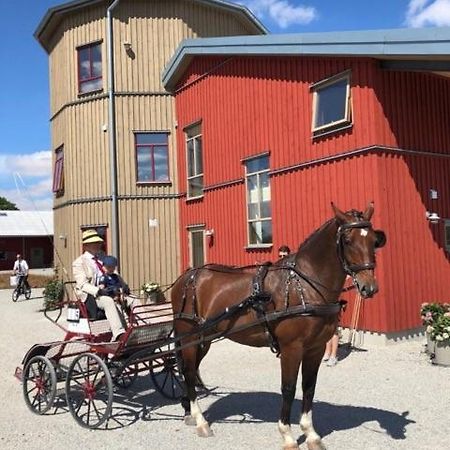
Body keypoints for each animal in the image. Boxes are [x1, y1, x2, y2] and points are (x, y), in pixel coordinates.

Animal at [171, 202, 384, 448]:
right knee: (188, 371)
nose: (369, 287)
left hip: (204, 339)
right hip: (189, 336)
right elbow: (289, 388)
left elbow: (309, 387)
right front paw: (288, 435)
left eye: (373, 240)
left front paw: (311, 433)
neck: (304, 286)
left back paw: (188, 411)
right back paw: (200, 420)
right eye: (347, 240)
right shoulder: (292, 348)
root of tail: (186, 277)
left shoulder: (316, 348)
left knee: (192, 370)